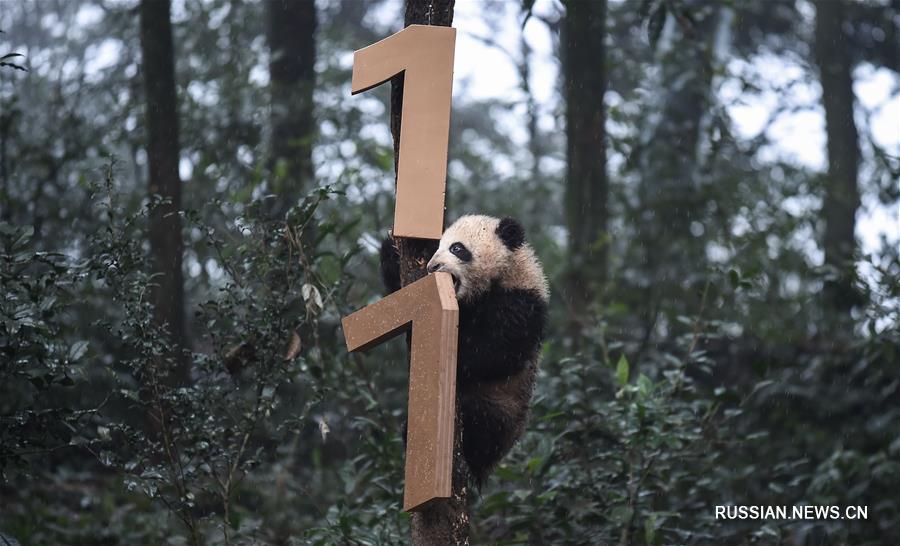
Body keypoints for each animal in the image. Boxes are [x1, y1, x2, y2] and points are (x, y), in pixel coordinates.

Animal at [380, 214, 548, 484]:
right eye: (438, 247)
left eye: (457, 248)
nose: (433, 267)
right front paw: (393, 248)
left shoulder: (521, 302)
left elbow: (496, 352)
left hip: (504, 408)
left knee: (483, 420)